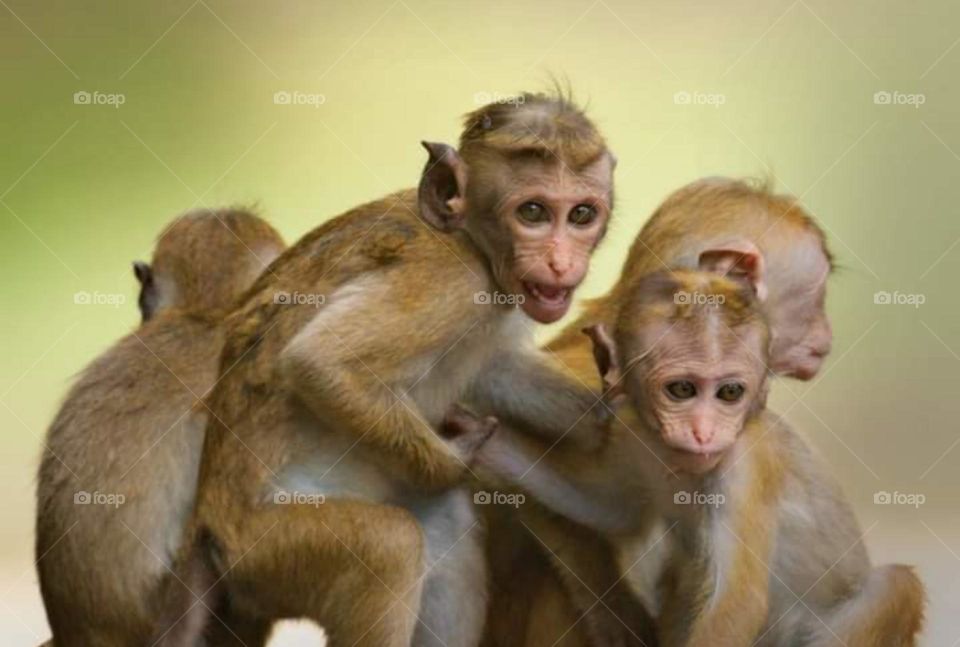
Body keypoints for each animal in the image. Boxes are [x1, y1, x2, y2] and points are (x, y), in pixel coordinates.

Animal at [153, 92, 618, 647]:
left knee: (444, 526)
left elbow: (498, 370)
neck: (472, 241)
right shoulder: (446, 280)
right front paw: (460, 458)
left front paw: (605, 404)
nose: (560, 263)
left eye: (581, 215)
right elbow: (320, 362)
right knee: (390, 545)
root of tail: (207, 526)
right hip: (269, 549)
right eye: (533, 212)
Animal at [477, 268, 925, 646]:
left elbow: (737, 603)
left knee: (894, 584)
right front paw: (487, 440)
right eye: (681, 389)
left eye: (730, 392)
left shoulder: (746, 463)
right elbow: (613, 509)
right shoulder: (632, 431)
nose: (704, 432)